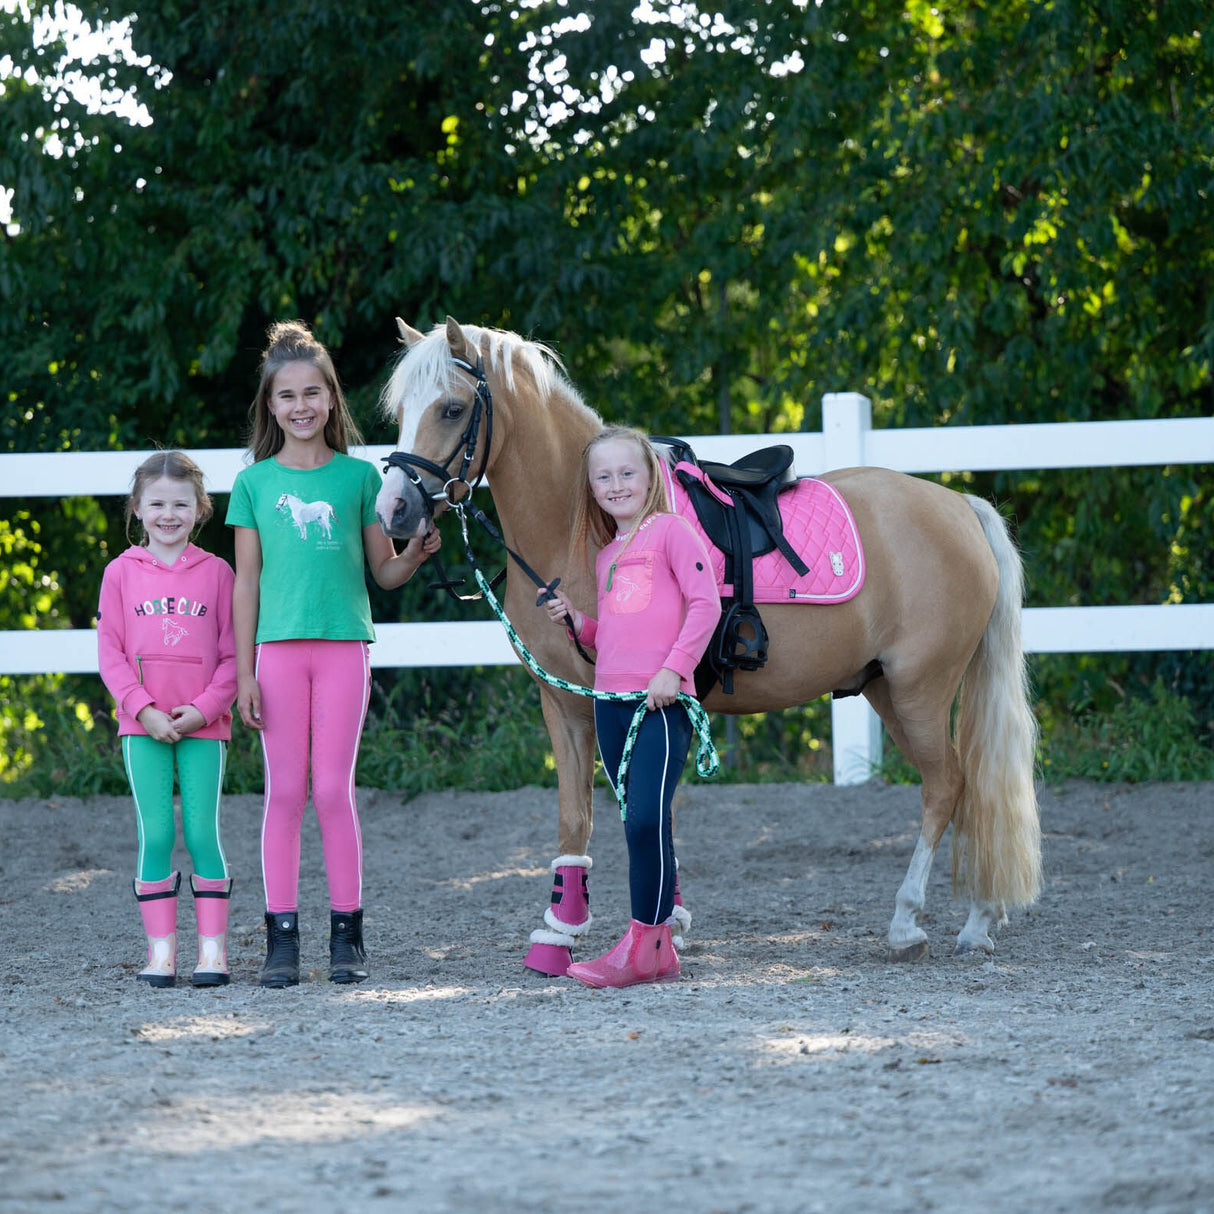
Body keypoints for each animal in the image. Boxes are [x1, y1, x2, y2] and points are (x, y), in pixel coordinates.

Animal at [375, 316, 1041, 975]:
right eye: (401, 410)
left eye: (453, 408)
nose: (395, 512)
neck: (579, 530)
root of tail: (959, 506)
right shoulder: (566, 704)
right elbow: (587, 818)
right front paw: (585, 931)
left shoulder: (625, 701)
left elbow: (637, 807)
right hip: (886, 688)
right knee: (965, 787)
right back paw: (980, 920)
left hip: (919, 688)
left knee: (946, 785)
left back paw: (912, 923)